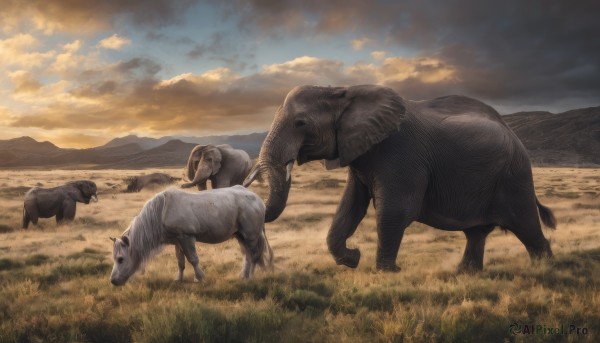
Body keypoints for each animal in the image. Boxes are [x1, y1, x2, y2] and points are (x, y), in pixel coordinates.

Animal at [109, 187, 272, 286]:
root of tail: (259, 200)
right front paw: (178, 280)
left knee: (253, 251)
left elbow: (193, 259)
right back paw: (244, 276)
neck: (158, 214)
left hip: (250, 232)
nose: (113, 281)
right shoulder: (177, 240)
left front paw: (200, 279)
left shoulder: (186, 236)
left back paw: (251, 277)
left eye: (121, 259)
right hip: (239, 233)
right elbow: (180, 261)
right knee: (246, 250)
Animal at [245, 84, 556, 272]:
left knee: (527, 225)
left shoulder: (402, 153)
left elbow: (395, 210)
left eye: (300, 123)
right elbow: (349, 207)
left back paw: (544, 270)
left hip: (515, 177)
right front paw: (353, 259)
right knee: (476, 233)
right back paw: (466, 274)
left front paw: (387, 272)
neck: (343, 90)